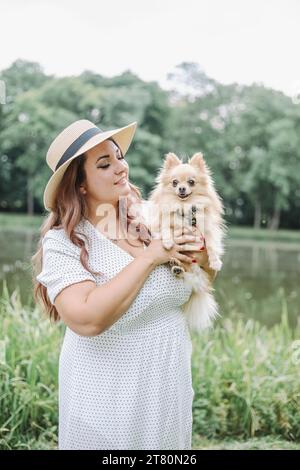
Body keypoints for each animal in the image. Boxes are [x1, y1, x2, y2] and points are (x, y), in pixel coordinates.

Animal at [148, 152, 227, 332]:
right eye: (175, 182)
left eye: (191, 182)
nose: (182, 188)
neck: (184, 206)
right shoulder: (166, 218)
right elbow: (165, 227)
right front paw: (168, 242)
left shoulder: (208, 228)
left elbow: (211, 245)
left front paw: (215, 261)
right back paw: (175, 265)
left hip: (197, 271)